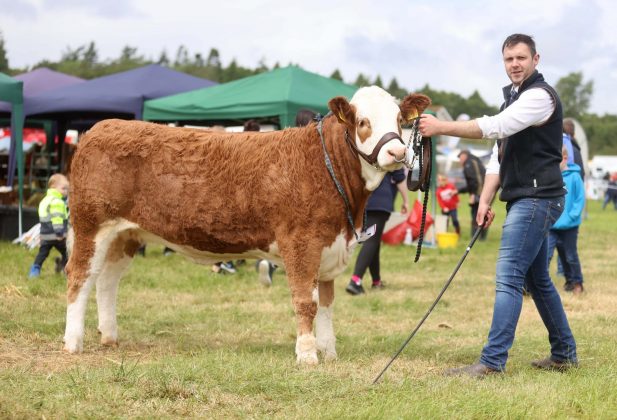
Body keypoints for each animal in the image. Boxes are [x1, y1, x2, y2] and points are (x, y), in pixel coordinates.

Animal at [62, 86, 428, 364]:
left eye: (399, 120)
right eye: (363, 121)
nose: (397, 152)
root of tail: (101, 128)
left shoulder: (330, 245)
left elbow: (326, 302)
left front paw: (329, 351)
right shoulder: (302, 242)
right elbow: (305, 301)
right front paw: (307, 355)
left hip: (126, 233)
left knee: (107, 281)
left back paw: (109, 336)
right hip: (91, 224)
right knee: (80, 277)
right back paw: (73, 342)